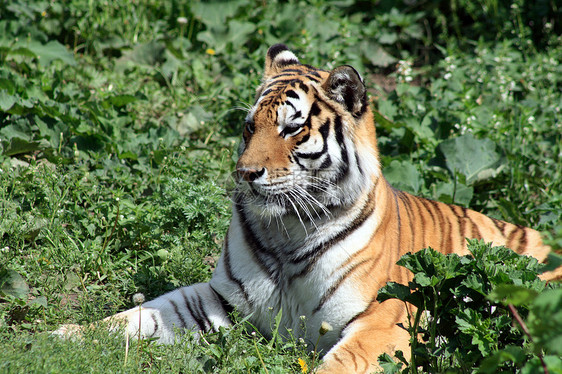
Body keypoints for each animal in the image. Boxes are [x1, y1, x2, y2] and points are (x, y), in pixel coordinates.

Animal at [54, 44, 556, 374]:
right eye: (248, 127)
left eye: (292, 129)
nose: (245, 173)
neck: (286, 232)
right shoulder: (223, 299)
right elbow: (138, 316)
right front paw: (60, 337)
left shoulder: (385, 316)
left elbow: (342, 363)